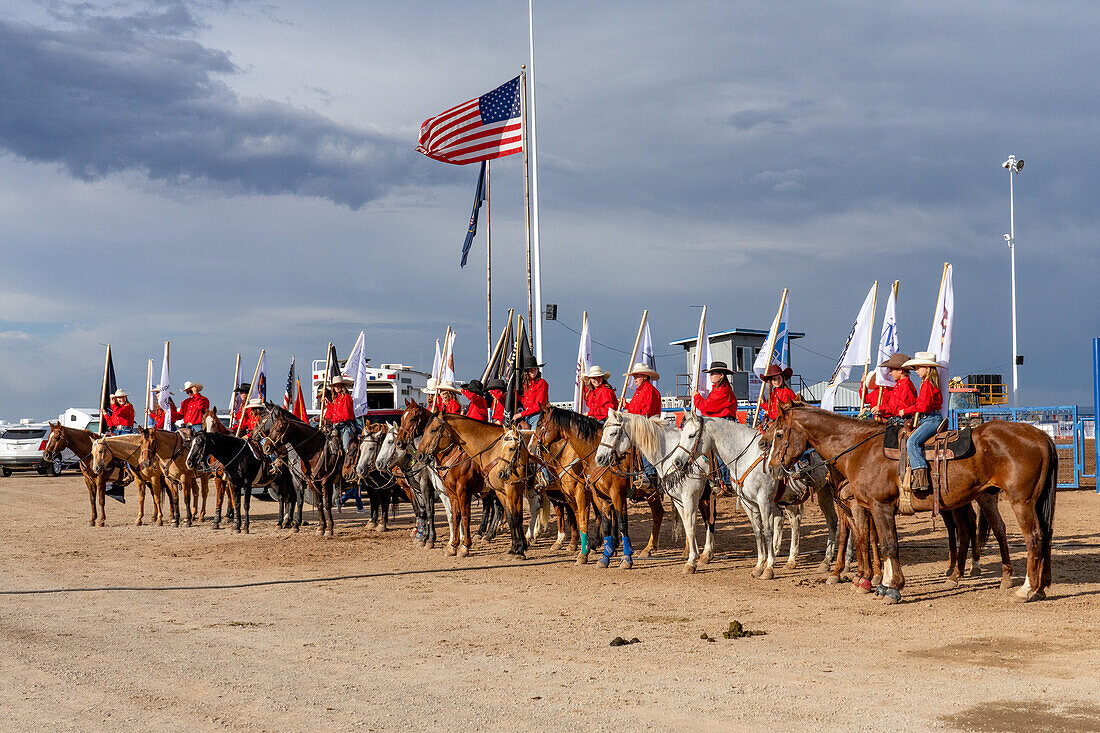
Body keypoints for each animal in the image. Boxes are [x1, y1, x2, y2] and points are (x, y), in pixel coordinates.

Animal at [413, 413, 530, 556]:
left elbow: (465, 516)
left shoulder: (464, 490)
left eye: (433, 430)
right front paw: (453, 545)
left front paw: (464, 546)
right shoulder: (450, 492)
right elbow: (455, 516)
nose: (419, 456)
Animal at [536, 405, 664, 563]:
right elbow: (597, 520)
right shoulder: (591, 495)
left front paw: (587, 551)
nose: (533, 447)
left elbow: (594, 520)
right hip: (652, 493)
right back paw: (648, 549)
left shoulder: (604, 494)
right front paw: (599, 550)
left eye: (539, 424)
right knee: (658, 513)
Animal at [594, 411, 712, 572]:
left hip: (704, 496)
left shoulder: (689, 496)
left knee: (709, 519)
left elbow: (691, 524)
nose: (599, 458)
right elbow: (687, 524)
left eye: (613, 433)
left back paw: (706, 554)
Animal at [765, 402, 1056, 603]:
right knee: (1036, 534)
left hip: (1020, 501)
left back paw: (1026, 589)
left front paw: (891, 587)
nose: (771, 467)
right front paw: (877, 582)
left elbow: (886, 544)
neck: (859, 448)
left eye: (779, 433)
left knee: (1032, 537)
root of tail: (1041, 436)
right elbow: (876, 542)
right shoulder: (871, 508)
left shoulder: (878, 506)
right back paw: (1036, 586)